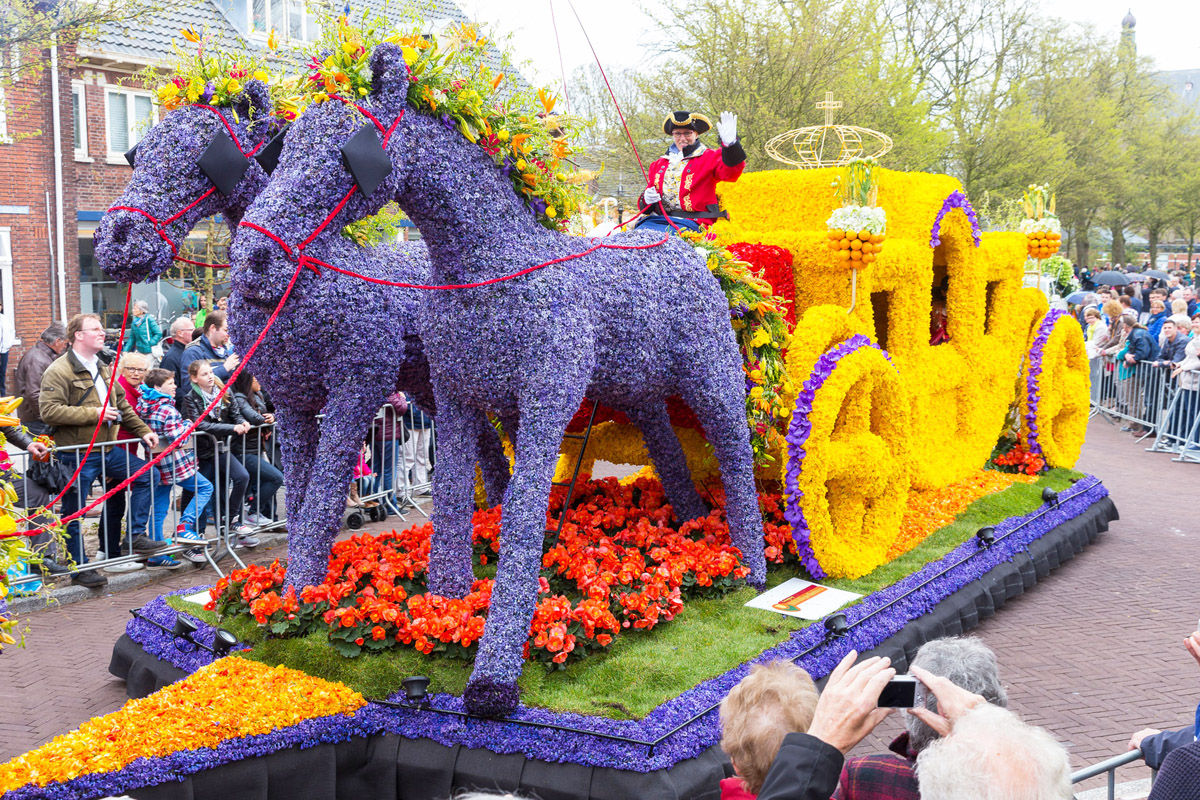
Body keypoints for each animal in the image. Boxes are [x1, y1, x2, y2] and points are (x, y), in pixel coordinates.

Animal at [91, 77, 506, 585]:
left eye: (196, 156)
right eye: (142, 153)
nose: (117, 240)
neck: (301, 280)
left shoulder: (356, 385)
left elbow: (322, 499)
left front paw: (302, 588)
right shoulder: (292, 397)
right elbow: (303, 495)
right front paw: (295, 589)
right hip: (432, 385)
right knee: (490, 448)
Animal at [234, 47, 768, 714]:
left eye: (343, 152)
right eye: (283, 149)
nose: (253, 257)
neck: (489, 269)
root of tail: (685, 249)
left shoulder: (544, 402)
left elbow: (517, 518)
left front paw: (493, 675)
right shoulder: (457, 398)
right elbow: (454, 502)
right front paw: (443, 606)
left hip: (711, 376)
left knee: (735, 450)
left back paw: (748, 565)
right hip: (640, 388)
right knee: (667, 447)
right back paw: (691, 524)